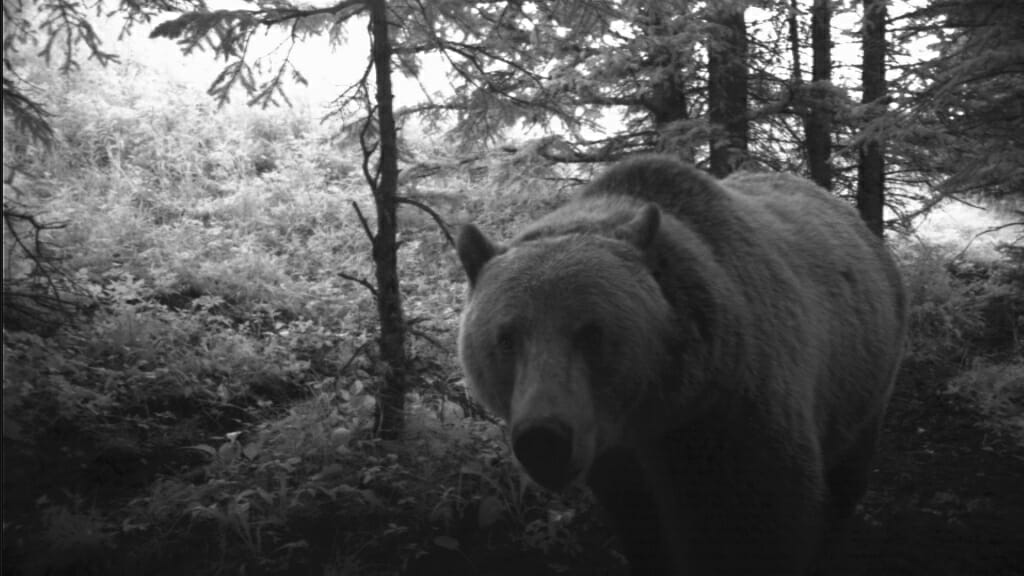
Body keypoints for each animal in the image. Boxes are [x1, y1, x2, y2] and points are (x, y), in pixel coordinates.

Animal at [454, 154, 905, 569]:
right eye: (506, 338)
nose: (543, 438)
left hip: (865, 375)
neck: (656, 411)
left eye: (591, 332)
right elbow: (642, 529)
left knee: (847, 476)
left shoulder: (734, 417)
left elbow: (761, 523)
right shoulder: (618, 459)